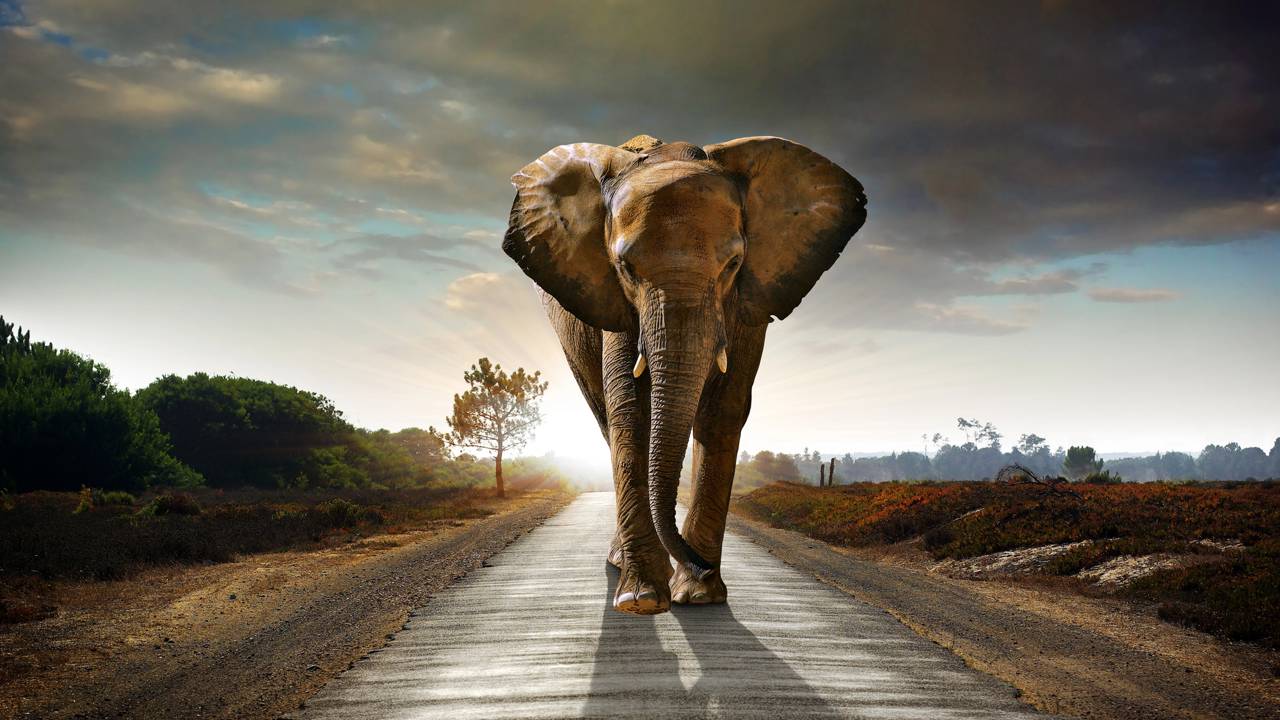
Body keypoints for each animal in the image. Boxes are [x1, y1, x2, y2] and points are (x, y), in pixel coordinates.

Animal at [502, 134, 867, 615]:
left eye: (733, 264)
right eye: (625, 267)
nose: (701, 565)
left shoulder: (748, 302)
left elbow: (723, 410)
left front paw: (698, 595)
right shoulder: (615, 303)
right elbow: (630, 410)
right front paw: (642, 599)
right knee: (605, 417)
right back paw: (623, 565)